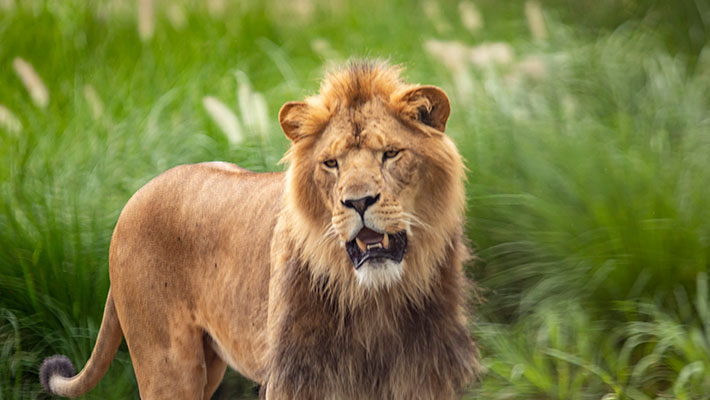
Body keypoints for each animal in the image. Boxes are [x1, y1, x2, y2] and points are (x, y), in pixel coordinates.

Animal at [40, 61, 478, 399]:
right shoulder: (296, 381)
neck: (375, 302)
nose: (358, 202)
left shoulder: (424, 377)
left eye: (390, 153)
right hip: (167, 366)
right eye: (331, 163)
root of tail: (135, 197)